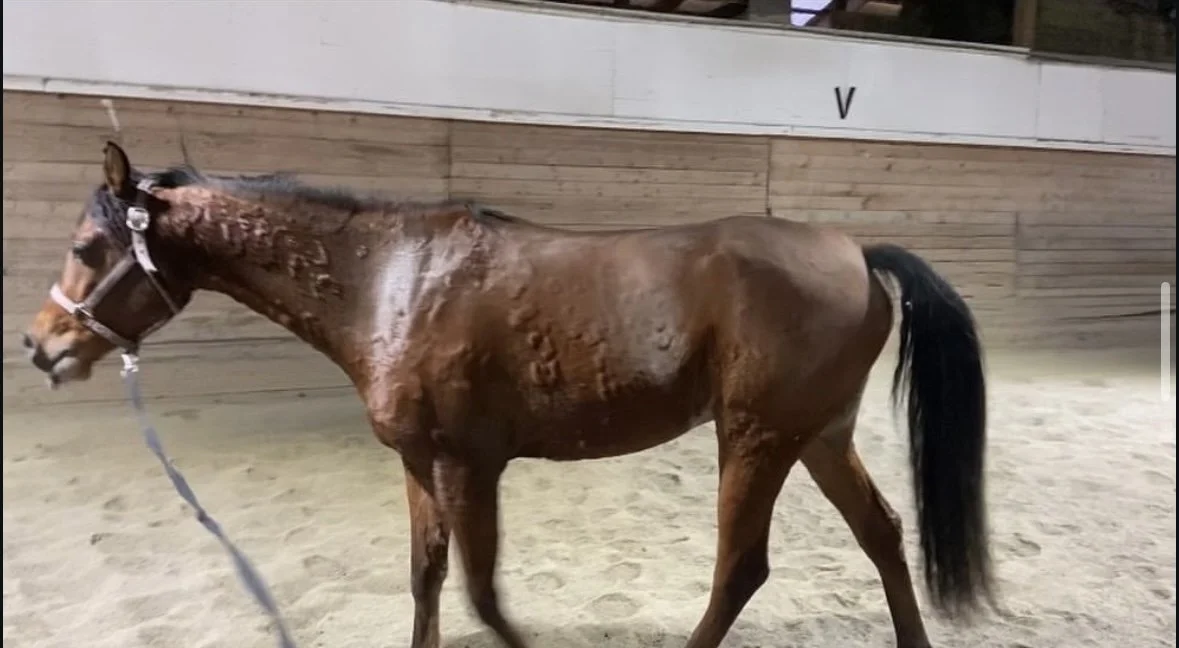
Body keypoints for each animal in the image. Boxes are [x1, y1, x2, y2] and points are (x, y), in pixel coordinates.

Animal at [21, 141, 995, 648]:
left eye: (88, 247)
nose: (41, 347)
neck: (389, 283)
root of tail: (858, 252)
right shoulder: (419, 467)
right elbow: (424, 579)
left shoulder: (467, 467)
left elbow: (483, 598)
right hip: (819, 436)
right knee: (881, 535)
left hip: (755, 440)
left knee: (740, 568)